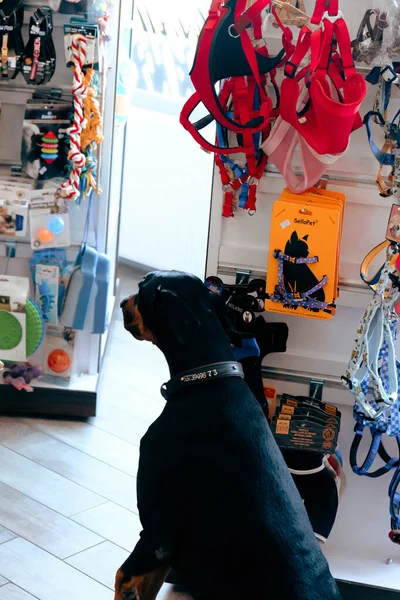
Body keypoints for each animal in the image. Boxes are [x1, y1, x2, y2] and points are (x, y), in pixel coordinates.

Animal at [115, 272, 340, 600]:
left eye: (143, 287)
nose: (121, 302)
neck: (208, 379)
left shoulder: (158, 532)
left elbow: (123, 578)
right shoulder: (170, 548)